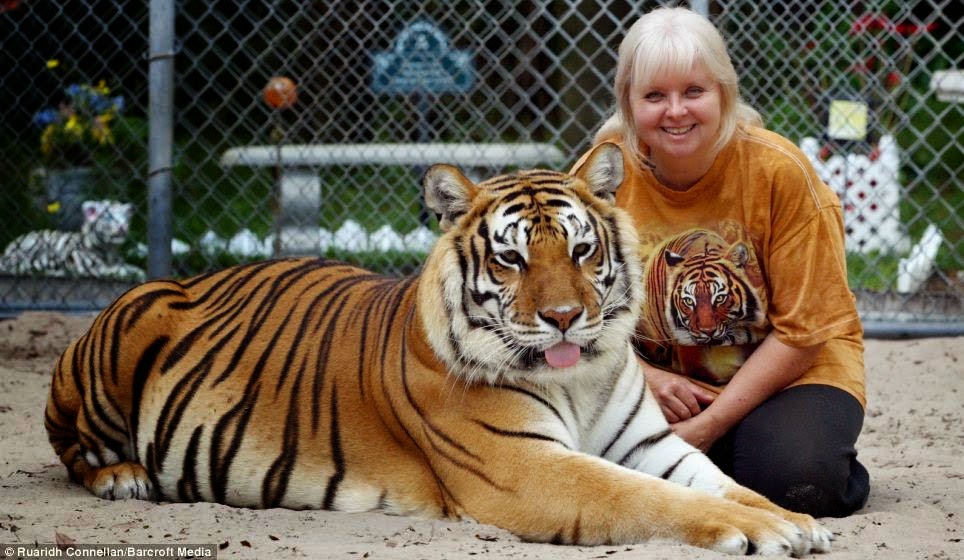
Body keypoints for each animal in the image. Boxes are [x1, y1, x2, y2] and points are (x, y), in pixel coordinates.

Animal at [43, 144, 828, 556]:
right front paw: (761, 529)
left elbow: (718, 482)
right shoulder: (526, 467)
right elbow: (647, 498)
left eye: (580, 250)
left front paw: (789, 518)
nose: (566, 318)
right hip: (125, 333)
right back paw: (123, 478)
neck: (580, 378)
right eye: (512, 260)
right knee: (72, 449)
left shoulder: (647, 444)